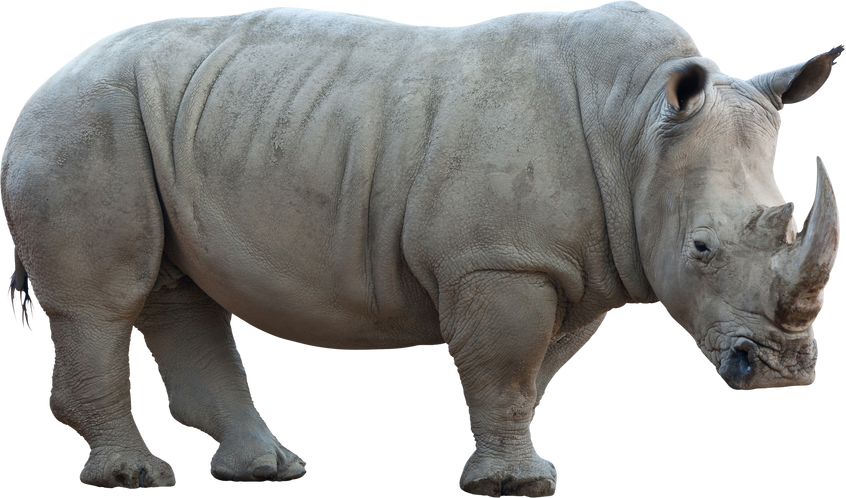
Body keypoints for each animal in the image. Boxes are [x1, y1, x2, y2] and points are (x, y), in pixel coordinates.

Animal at [1, 1, 842, 495]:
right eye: (701, 248)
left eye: (788, 221)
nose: (782, 376)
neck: (637, 126)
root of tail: (44, 80)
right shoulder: (499, 258)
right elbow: (505, 369)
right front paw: (514, 489)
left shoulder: (568, 266)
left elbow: (535, 377)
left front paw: (517, 469)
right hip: (81, 119)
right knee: (106, 300)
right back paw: (134, 477)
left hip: (160, 122)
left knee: (176, 290)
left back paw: (268, 471)